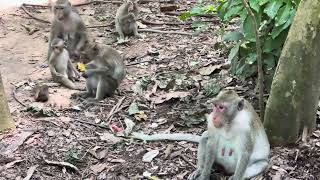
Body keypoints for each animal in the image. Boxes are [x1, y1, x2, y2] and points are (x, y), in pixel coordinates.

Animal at [132, 89, 270, 179]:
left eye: (221, 107)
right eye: (215, 106)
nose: (214, 116)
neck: (229, 122)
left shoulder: (246, 127)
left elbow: (245, 153)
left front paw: (235, 179)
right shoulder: (212, 125)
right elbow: (211, 143)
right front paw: (204, 174)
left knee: (262, 164)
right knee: (204, 138)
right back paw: (200, 169)